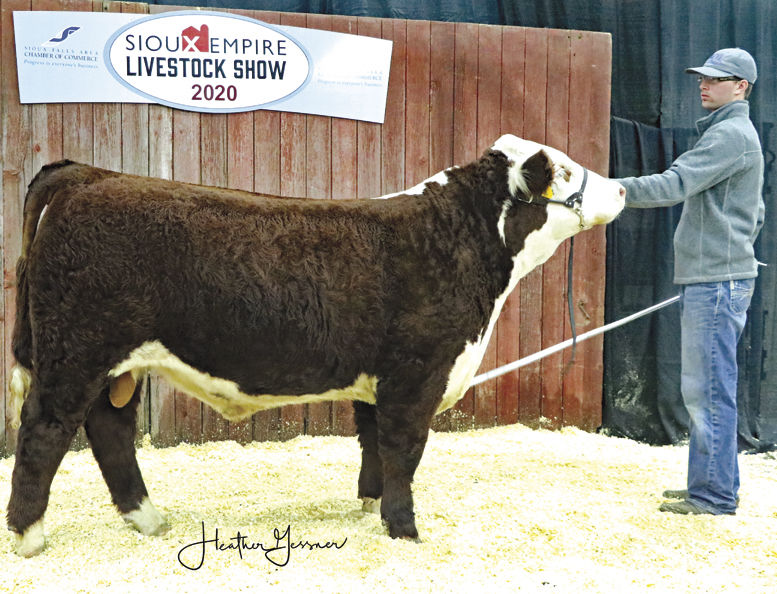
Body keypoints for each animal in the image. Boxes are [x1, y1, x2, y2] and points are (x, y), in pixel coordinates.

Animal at [6, 134, 625, 556]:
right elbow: (404, 450)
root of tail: (87, 174)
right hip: (76, 351)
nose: (621, 187)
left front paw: (370, 510)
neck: (457, 240)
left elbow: (374, 445)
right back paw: (29, 536)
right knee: (43, 432)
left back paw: (148, 520)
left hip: (113, 365)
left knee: (109, 429)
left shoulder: (379, 380)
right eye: (566, 171)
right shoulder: (416, 374)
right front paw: (405, 530)